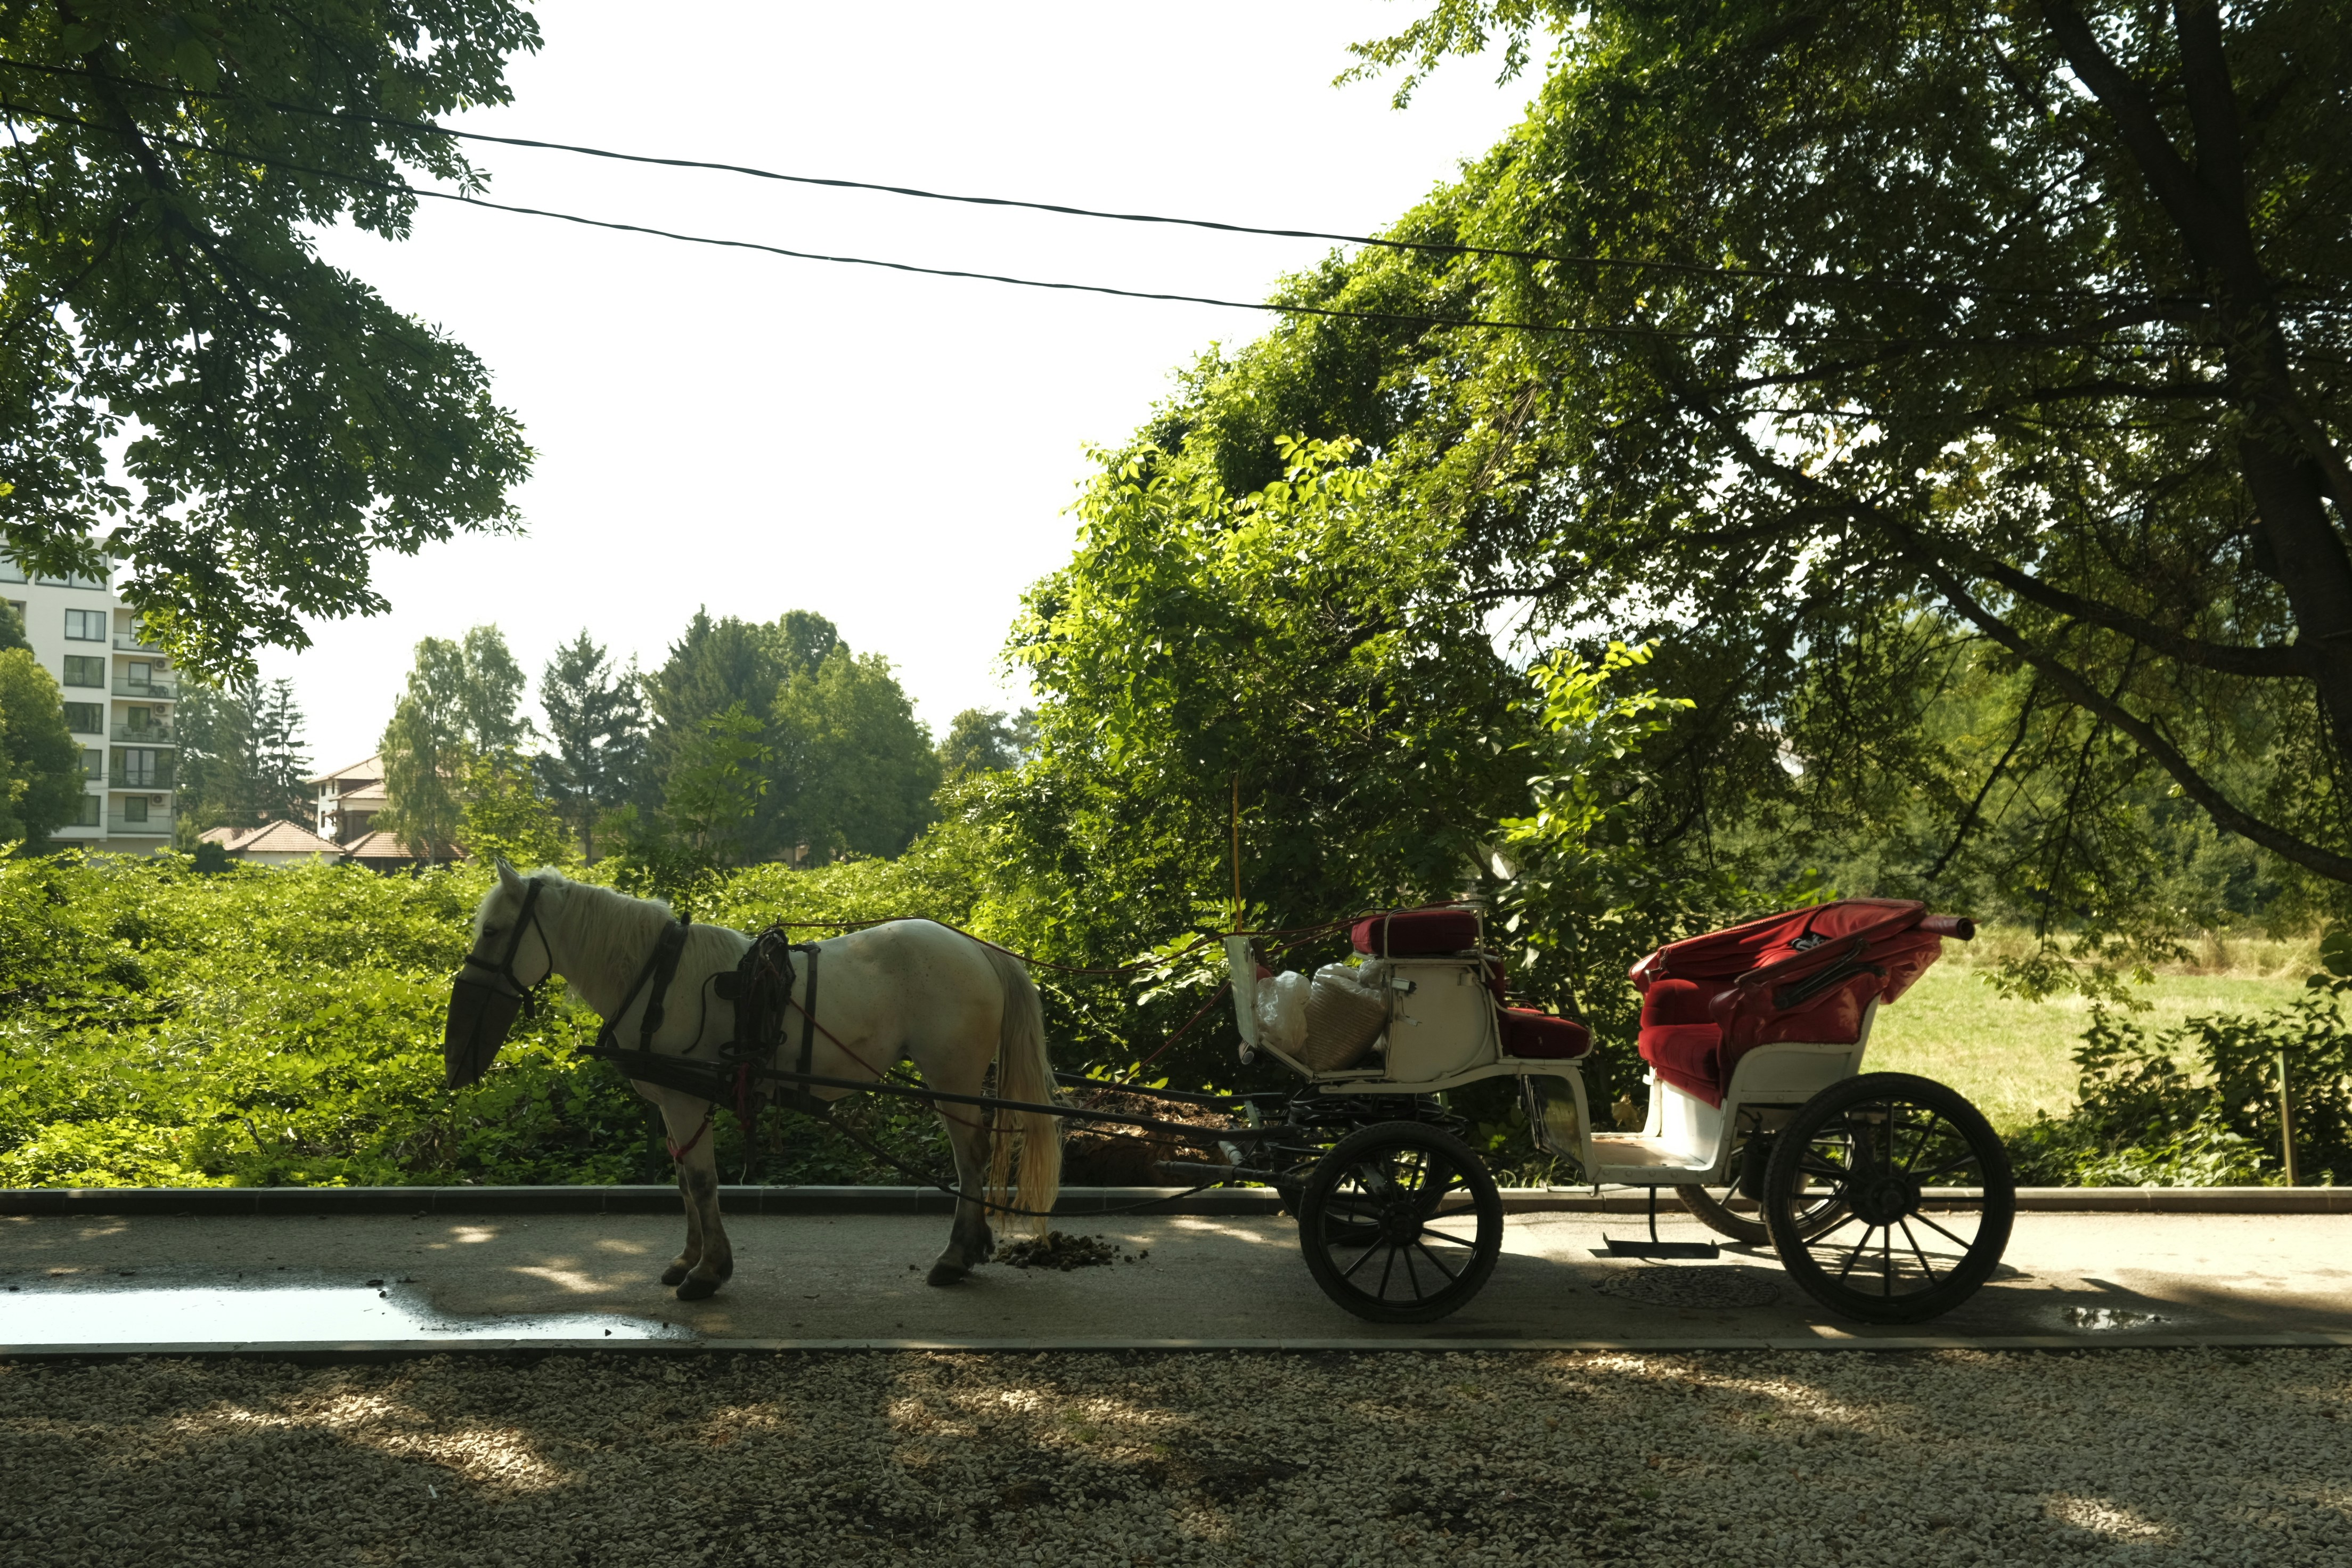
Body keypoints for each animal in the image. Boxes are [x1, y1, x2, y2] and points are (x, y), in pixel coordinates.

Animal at [440, 861, 1061, 1300]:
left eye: (493, 930)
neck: (658, 978)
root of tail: (978, 948)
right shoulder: (675, 1104)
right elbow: (684, 1182)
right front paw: (688, 1259)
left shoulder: (685, 1101)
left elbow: (702, 1182)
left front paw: (709, 1272)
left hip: (949, 1073)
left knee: (970, 1156)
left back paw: (956, 1254)